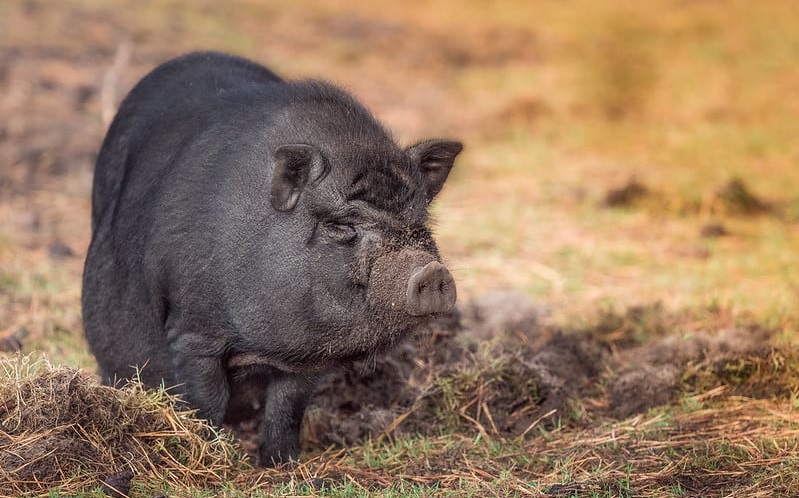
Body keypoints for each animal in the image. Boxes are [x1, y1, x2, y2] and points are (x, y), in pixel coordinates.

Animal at [83, 51, 462, 466]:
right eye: (342, 224)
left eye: (419, 222)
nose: (432, 271)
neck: (265, 344)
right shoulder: (192, 330)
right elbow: (206, 401)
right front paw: (214, 456)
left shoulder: (309, 358)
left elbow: (288, 407)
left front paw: (282, 465)